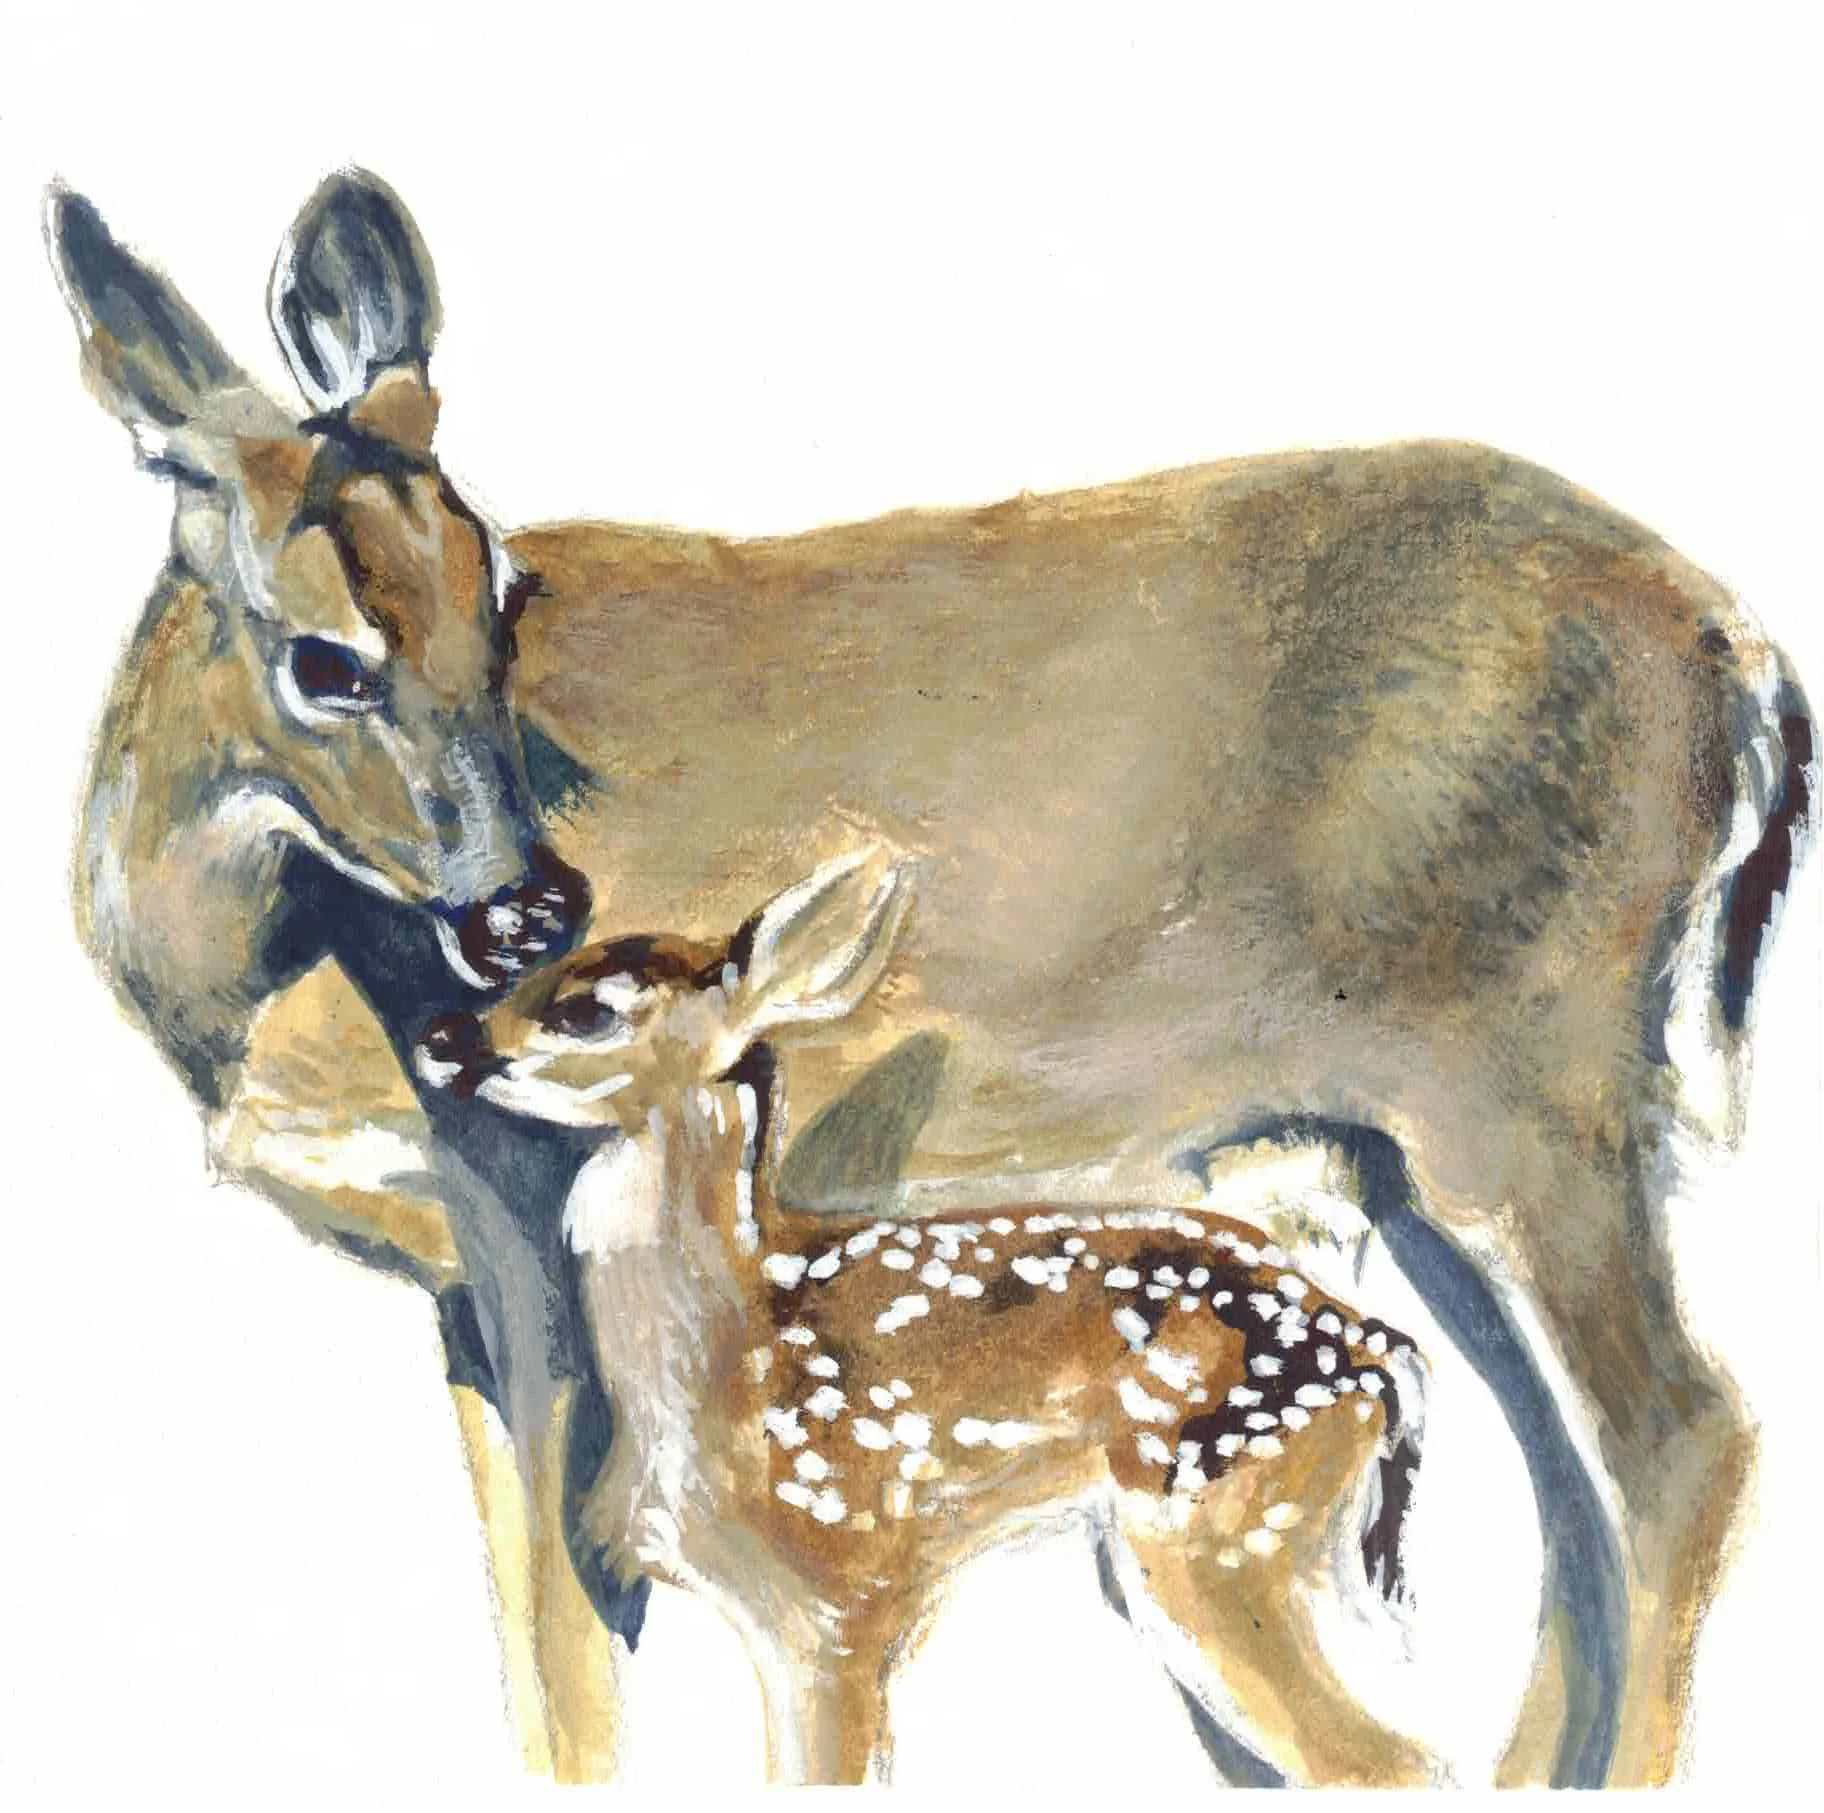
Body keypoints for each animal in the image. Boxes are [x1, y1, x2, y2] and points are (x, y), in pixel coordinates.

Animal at [412, 846, 1438, 1785]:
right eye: (533, 975)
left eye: (588, 1009)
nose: (441, 1036)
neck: (729, 1357)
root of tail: (1379, 1350)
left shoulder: (842, 1593)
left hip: (1220, 1530)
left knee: (1384, 1761)